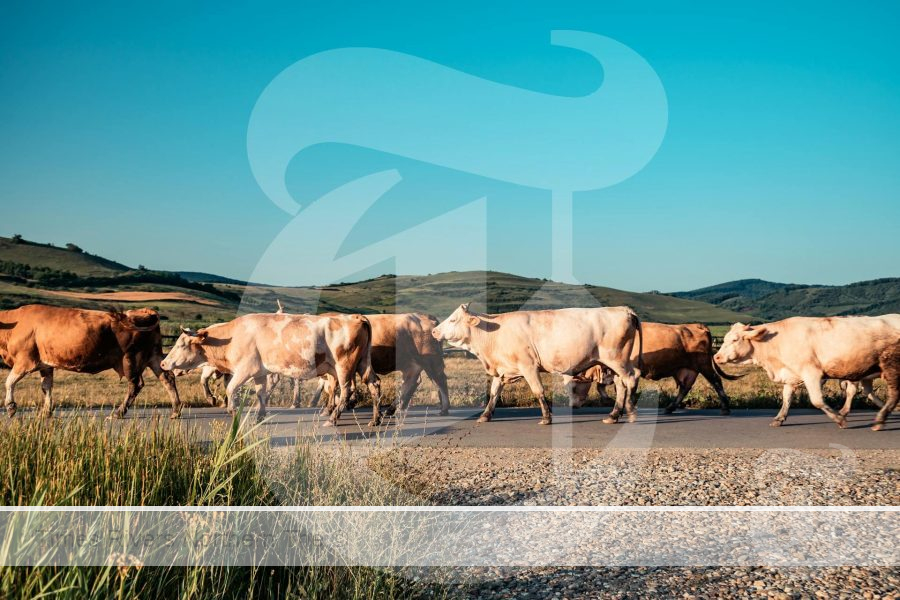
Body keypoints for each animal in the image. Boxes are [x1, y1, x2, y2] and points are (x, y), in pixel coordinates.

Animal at [0, 304, 181, 418]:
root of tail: (144, 312)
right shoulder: (46, 365)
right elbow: (46, 387)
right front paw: (46, 411)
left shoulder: (25, 361)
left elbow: (9, 382)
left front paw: (10, 407)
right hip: (154, 355)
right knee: (167, 378)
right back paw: (175, 410)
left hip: (131, 359)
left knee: (136, 384)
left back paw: (118, 413)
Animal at [158, 312, 376, 424]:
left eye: (182, 344)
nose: (162, 363)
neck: (232, 336)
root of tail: (356, 317)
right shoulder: (259, 373)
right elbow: (261, 393)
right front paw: (259, 416)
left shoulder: (244, 370)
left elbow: (230, 389)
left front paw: (233, 412)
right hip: (363, 363)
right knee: (374, 385)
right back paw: (376, 419)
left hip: (344, 366)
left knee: (346, 390)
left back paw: (333, 417)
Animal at [432, 304, 644, 426]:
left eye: (453, 319)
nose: (434, 331)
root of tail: (624, 309)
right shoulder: (501, 370)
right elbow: (493, 393)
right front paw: (485, 415)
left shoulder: (529, 366)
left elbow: (538, 391)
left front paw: (546, 417)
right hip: (614, 363)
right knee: (621, 385)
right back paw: (614, 415)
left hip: (617, 359)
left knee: (631, 378)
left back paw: (631, 412)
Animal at [568, 322, 740, 414]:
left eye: (574, 387)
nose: (573, 406)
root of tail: (697, 325)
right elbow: (602, 386)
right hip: (687, 369)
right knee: (685, 387)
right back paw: (670, 408)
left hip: (703, 364)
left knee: (716, 381)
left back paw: (725, 408)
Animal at [712, 316, 900, 428]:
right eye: (725, 339)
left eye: (734, 339)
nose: (717, 357)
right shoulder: (791, 375)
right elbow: (786, 398)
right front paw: (779, 418)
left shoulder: (812, 373)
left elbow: (817, 400)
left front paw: (839, 419)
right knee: (869, 392)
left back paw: (881, 416)